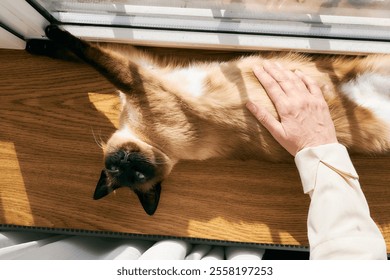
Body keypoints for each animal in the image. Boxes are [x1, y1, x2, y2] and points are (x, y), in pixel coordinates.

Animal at [26, 25, 390, 215]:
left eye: (135, 172)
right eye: (121, 170)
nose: (127, 160)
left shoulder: (139, 76)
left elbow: (85, 51)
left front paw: (44, 36)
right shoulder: (142, 74)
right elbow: (84, 53)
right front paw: (39, 40)